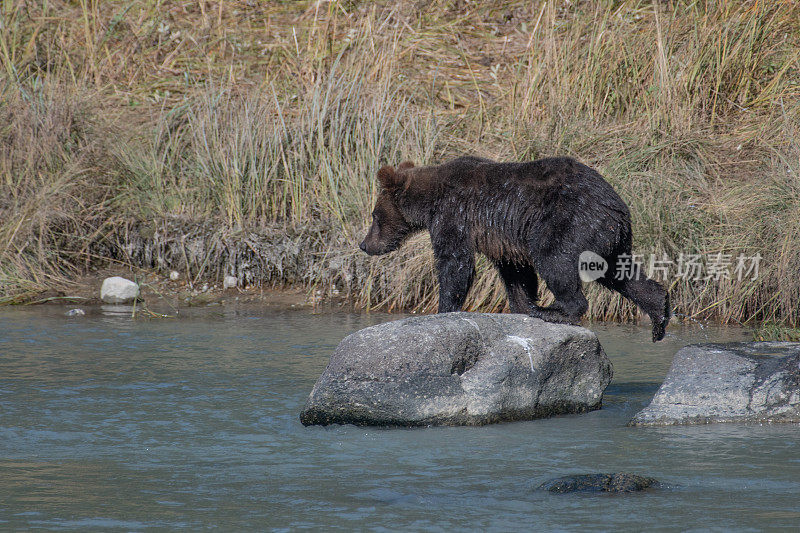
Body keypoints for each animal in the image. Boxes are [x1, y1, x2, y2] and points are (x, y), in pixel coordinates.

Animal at [360, 155, 668, 340]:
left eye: (374, 215)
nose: (364, 244)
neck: (430, 201)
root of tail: (617, 207)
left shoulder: (454, 215)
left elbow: (454, 262)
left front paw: (443, 307)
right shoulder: (503, 240)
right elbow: (517, 274)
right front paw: (521, 305)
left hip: (568, 222)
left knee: (554, 261)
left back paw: (553, 311)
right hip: (606, 239)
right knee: (621, 274)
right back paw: (659, 315)